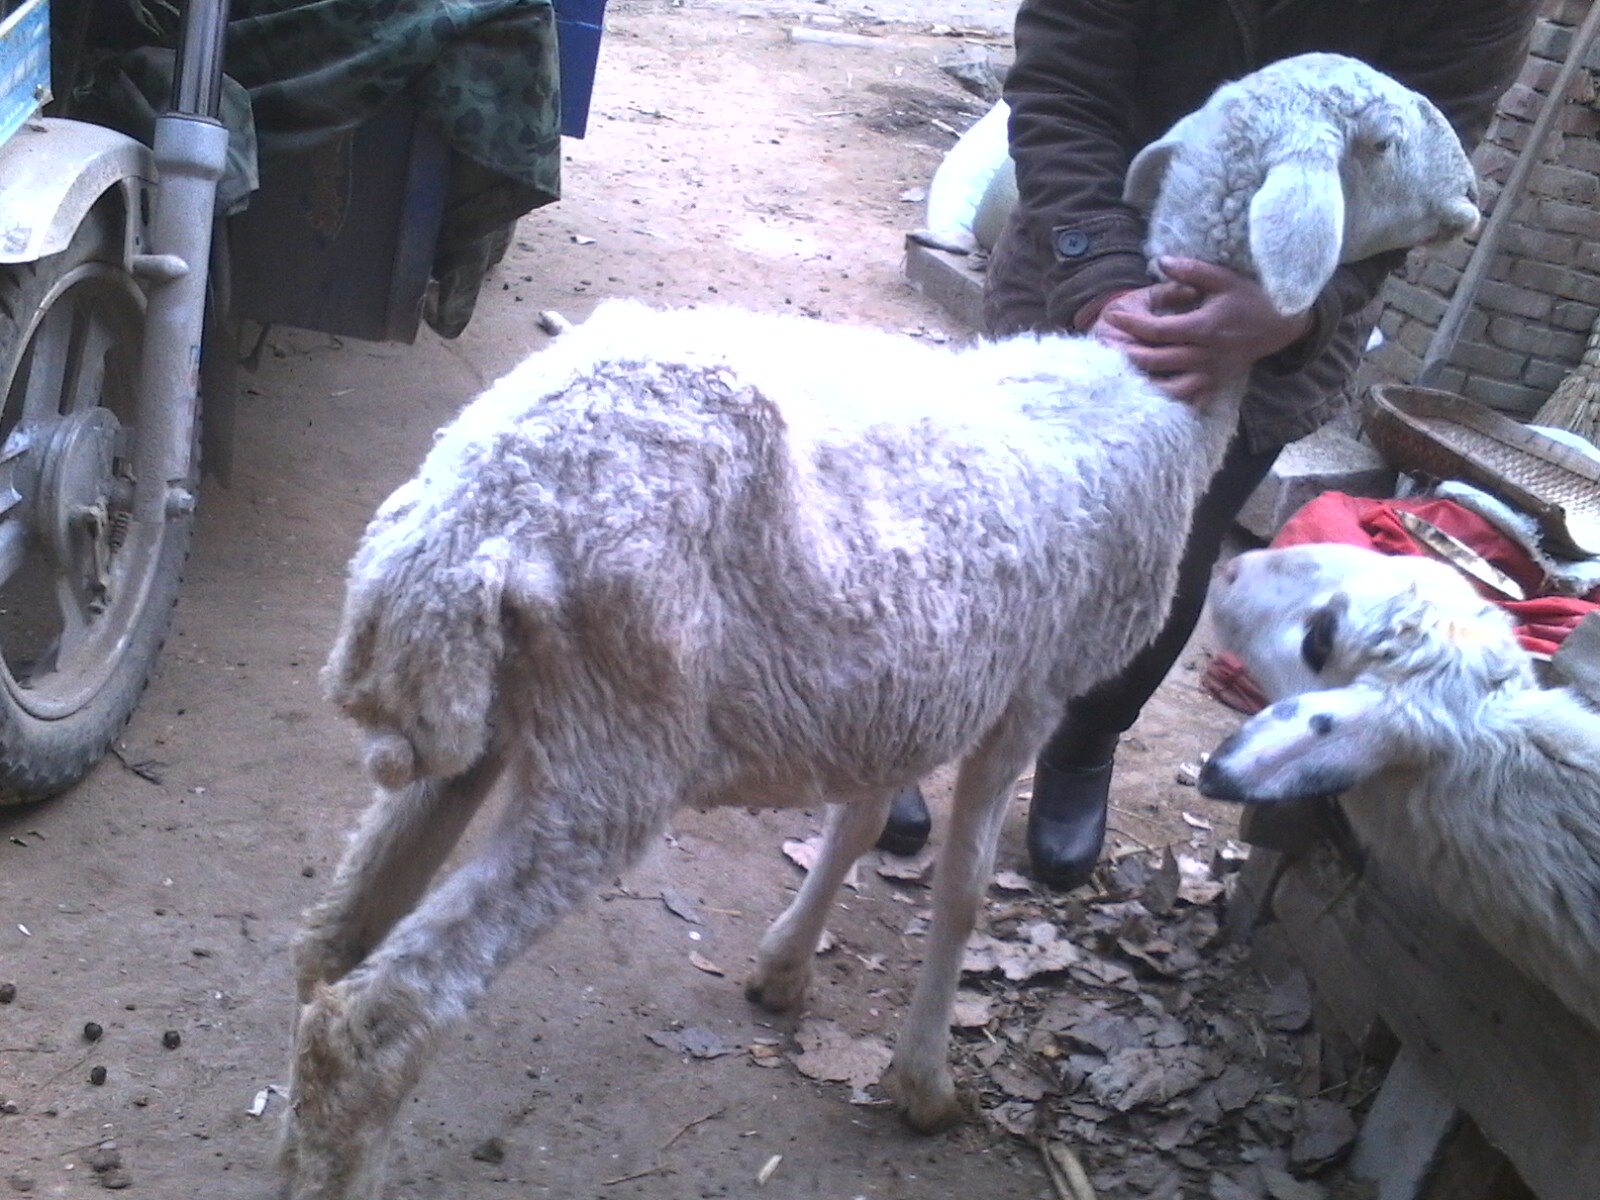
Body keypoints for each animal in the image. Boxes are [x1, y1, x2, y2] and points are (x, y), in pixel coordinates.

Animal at [278, 51, 1484, 1196]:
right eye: (1385, 138)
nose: (1471, 196)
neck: (1151, 395)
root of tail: (474, 512)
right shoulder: (1032, 693)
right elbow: (961, 890)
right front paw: (923, 1079)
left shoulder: (900, 681)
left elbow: (858, 824)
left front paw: (783, 971)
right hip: (611, 752)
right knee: (373, 1026)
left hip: (488, 727)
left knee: (330, 946)